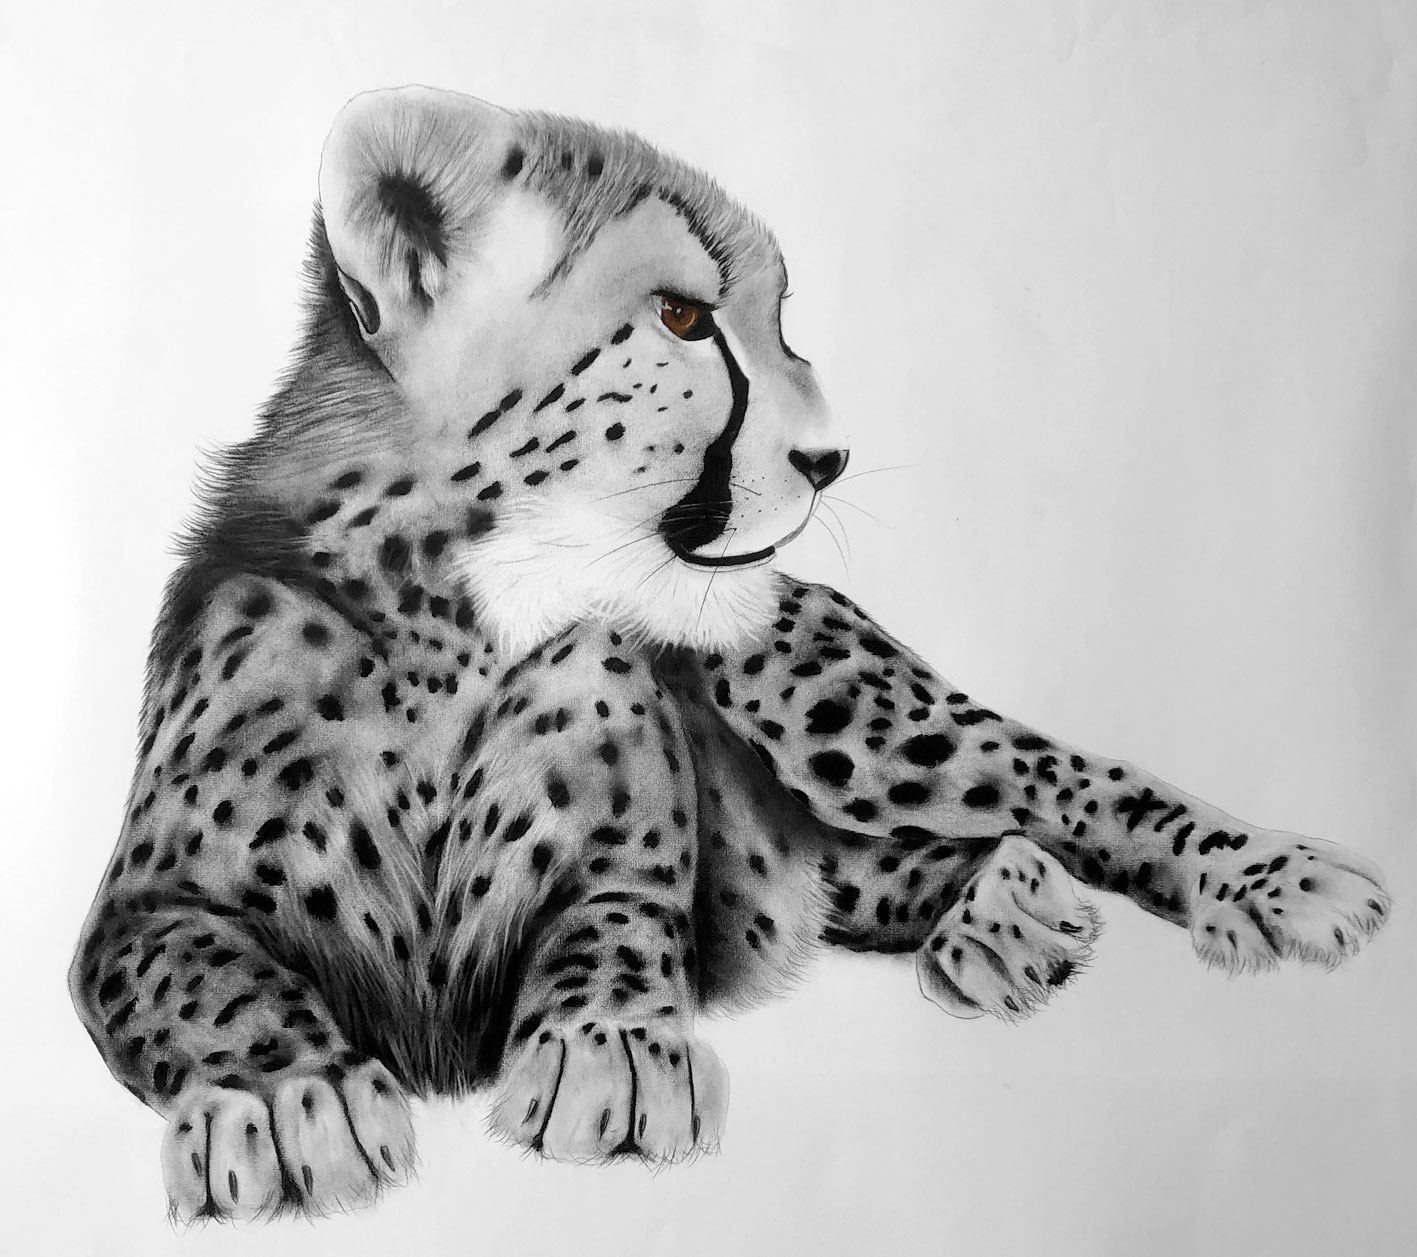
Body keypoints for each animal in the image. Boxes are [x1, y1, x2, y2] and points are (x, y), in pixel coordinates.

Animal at [69, 85, 1392, 1222]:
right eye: (682, 319)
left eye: (776, 320)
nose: (830, 457)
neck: (467, 615)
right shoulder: (141, 914)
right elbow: (204, 974)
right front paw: (284, 1096)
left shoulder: (626, 872)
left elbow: (614, 925)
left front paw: (610, 1049)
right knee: (872, 867)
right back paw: (998, 913)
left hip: (845, 715)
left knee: (1059, 782)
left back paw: (1275, 878)